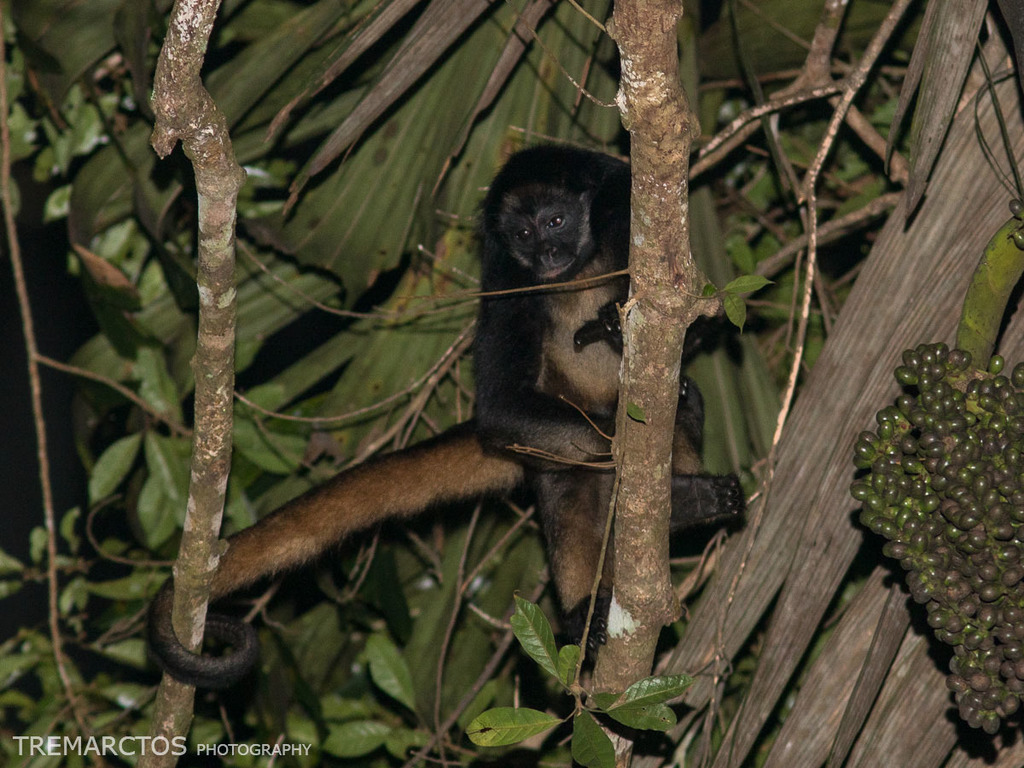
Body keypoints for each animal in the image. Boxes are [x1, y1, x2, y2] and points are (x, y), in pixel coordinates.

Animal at [148, 147, 741, 688]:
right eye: (523, 234)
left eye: (555, 221)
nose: (547, 251)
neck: (582, 263)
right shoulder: (504, 274)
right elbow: (501, 410)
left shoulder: (620, 202)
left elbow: (699, 312)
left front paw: (624, 333)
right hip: (551, 434)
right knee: (568, 483)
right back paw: (593, 600)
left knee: (681, 398)